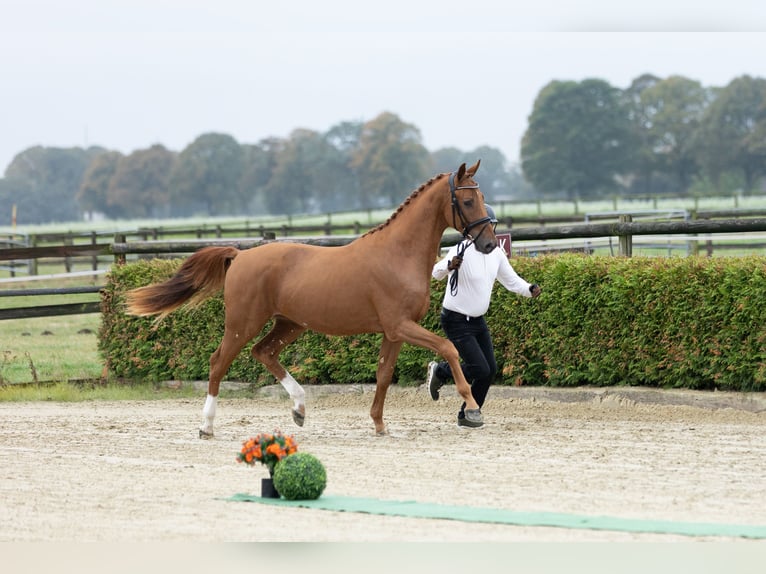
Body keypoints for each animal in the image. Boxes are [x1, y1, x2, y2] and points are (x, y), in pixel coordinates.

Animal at [125, 160, 498, 437]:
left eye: (482, 197)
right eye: (467, 201)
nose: (489, 243)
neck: (398, 254)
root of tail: (240, 256)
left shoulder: (393, 332)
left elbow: (383, 375)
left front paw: (379, 425)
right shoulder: (401, 326)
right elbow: (448, 348)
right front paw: (472, 409)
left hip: (290, 324)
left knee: (263, 352)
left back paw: (299, 409)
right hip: (243, 323)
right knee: (219, 362)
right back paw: (207, 426)